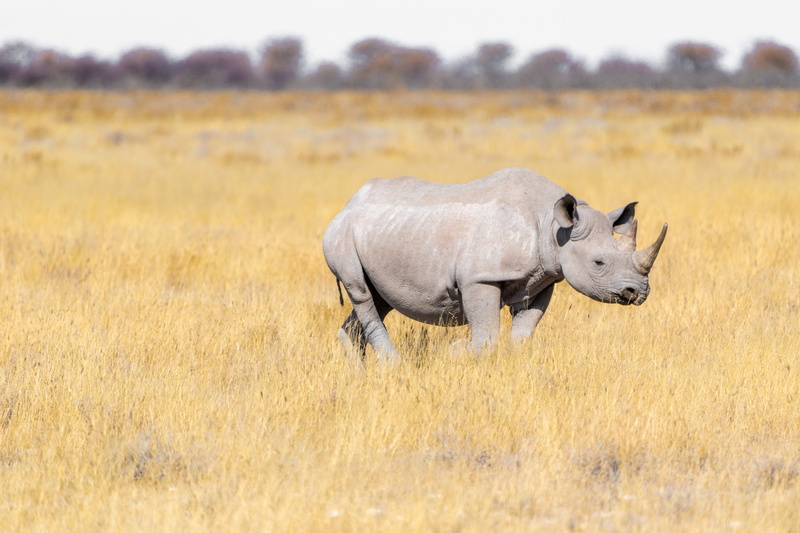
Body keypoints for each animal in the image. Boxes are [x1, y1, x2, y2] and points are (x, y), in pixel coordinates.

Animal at [323, 167, 667, 365]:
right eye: (599, 262)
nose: (638, 292)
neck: (554, 227)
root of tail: (348, 204)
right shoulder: (480, 277)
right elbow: (486, 339)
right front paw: (454, 352)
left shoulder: (542, 279)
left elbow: (522, 335)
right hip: (342, 234)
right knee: (361, 292)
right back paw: (394, 366)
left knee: (378, 299)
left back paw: (358, 370)